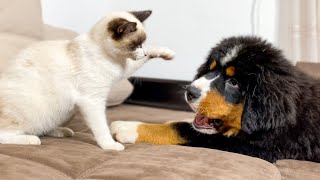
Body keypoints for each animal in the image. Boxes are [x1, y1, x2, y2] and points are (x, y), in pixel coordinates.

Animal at [0, 10, 174, 150]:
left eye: (143, 45)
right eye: (136, 45)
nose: (143, 53)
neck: (113, 59)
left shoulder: (122, 70)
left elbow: (145, 57)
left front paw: (166, 53)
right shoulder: (93, 101)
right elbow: (102, 128)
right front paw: (110, 146)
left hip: (63, 112)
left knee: (45, 126)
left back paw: (61, 131)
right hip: (35, 111)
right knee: (6, 135)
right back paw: (32, 139)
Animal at [111, 35, 320, 162]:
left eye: (234, 82)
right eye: (210, 69)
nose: (190, 91)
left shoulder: (257, 147)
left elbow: (182, 129)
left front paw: (127, 128)